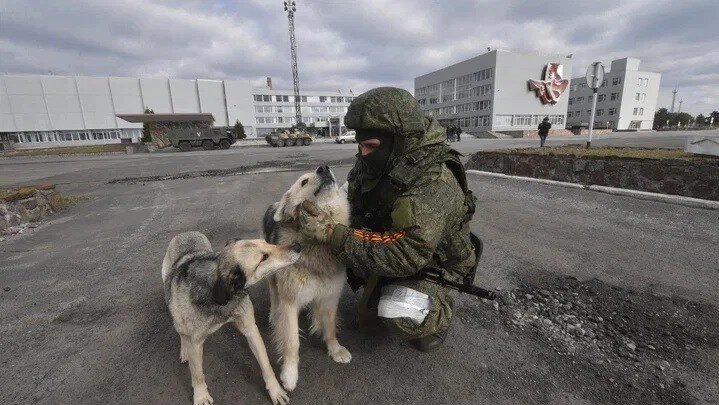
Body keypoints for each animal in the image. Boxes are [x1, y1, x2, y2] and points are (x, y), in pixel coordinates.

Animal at [161, 230, 300, 404]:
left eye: (268, 243)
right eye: (264, 258)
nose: (298, 246)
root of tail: (186, 232)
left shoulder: (250, 329)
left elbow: (266, 364)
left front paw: (275, 391)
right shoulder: (195, 342)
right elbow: (197, 374)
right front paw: (201, 396)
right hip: (174, 307)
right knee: (181, 332)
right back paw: (184, 350)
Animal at [264, 165, 354, 392]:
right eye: (304, 182)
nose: (324, 167)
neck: (317, 246)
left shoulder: (330, 297)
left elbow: (330, 327)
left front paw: (335, 349)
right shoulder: (289, 301)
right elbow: (291, 341)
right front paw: (289, 374)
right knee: (274, 293)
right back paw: (273, 313)